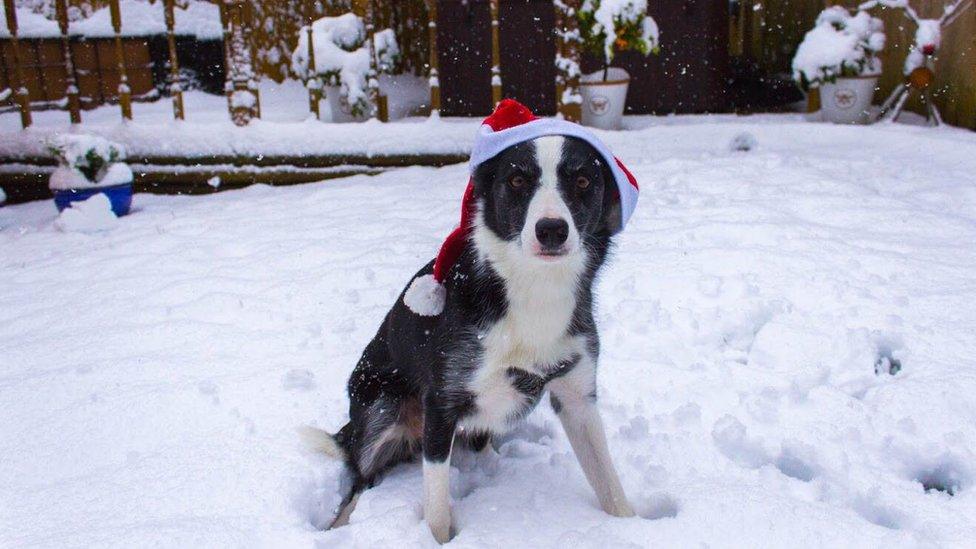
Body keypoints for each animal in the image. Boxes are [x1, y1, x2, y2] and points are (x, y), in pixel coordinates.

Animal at [306, 105, 640, 540]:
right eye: (517, 180)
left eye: (583, 180)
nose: (551, 230)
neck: (533, 288)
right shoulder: (441, 403)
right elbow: (435, 507)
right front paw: (436, 539)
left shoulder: (578, 397)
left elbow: (609, 484)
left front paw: (633, 526)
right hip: (382, 406)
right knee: (359, 479)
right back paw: (341, 521)